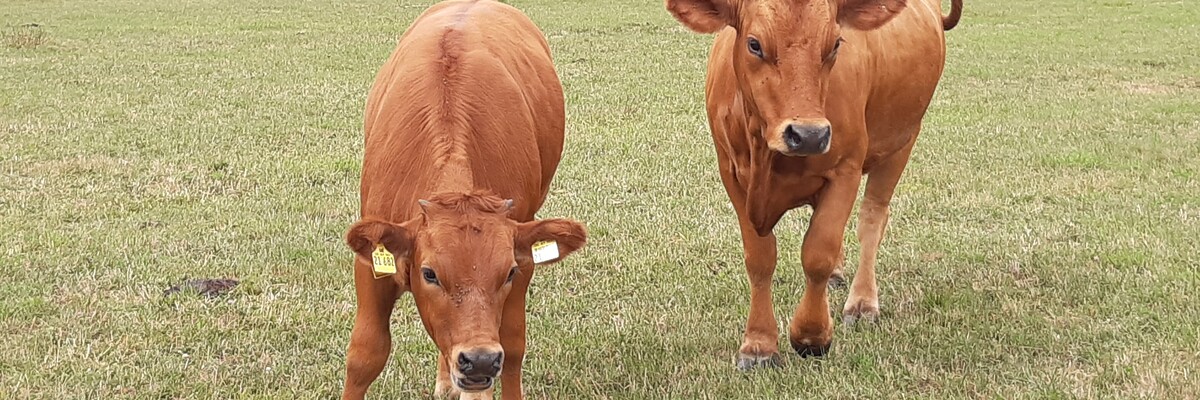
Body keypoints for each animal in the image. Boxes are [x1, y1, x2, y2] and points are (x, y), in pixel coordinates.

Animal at [340, 1, 587, 399]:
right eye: (429, 273)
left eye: (508, 272)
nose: (481, 360)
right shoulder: (372, 263)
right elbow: (365, 354)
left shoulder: (523, 257)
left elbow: (512, 347)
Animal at [665, 0, 962, 368]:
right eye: (754, 44)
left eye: (835, 44)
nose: (809, 135)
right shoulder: (731, 173)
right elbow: (760, 258)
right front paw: (759, 344)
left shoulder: (846, 169)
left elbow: (818, 253)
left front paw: (812, 335)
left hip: (902, 142)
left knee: (872, 218)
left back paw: (862, 302)